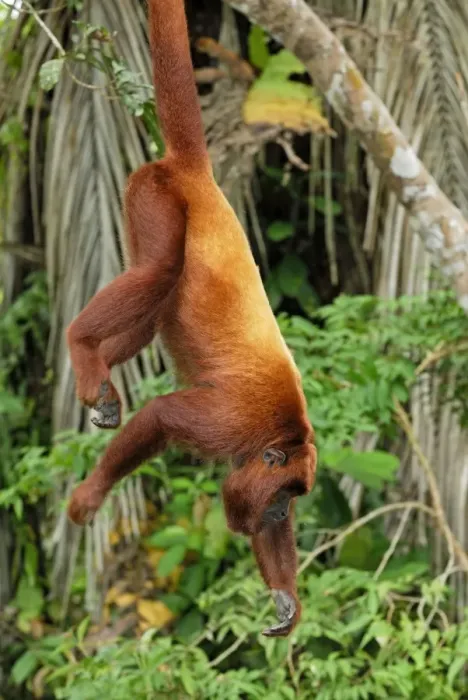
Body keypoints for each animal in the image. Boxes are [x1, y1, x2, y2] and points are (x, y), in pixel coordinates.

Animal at [66, 0, 317, 637]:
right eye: (284, 495)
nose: (281, 513)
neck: (282, 433)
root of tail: (199, 179)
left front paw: (284, 595)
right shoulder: (232, 423)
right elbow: (161, 416)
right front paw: (92, 495)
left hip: (141, 206)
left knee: (152, 308)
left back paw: (99, 369)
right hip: (155, 197)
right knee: (158, 269)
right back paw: (81, 344)